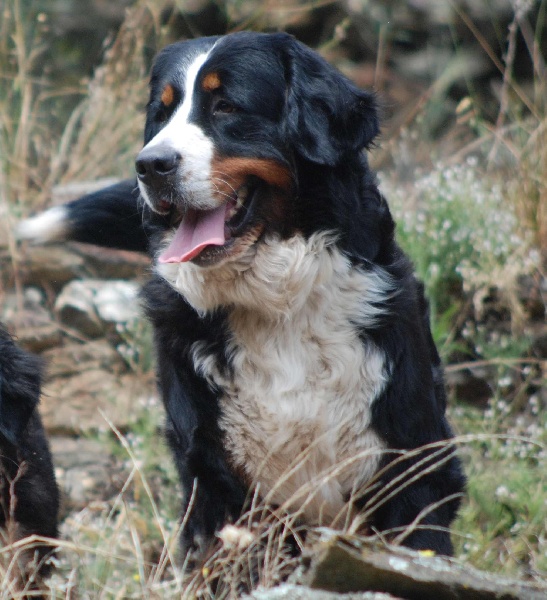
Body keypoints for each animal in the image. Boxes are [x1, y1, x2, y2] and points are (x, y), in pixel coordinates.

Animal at [20, 31, 466, 556]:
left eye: (227, 106)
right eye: (162, 113)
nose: (150, 164)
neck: (279, 305)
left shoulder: (412, 463)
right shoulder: (213, 475)